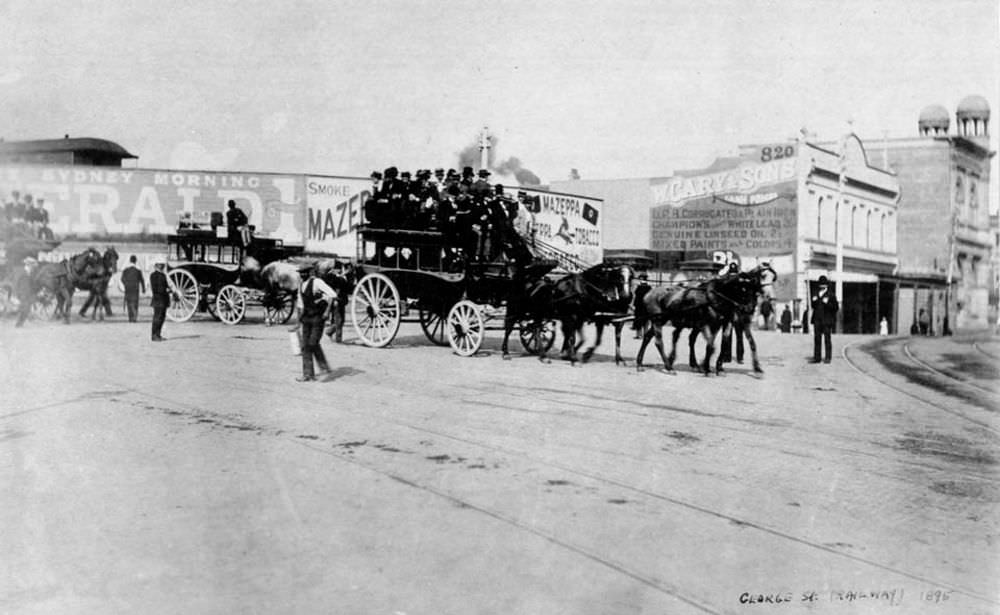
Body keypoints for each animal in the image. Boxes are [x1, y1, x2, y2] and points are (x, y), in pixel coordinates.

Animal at [500, 262, 632, 366]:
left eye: (631, 277)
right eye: (617, 277)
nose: (626, 297)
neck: (581, 289)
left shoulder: (581, 318)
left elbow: (581, 338)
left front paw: (570, 354)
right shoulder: (573, 317)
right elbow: (572, 337)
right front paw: (573, 357)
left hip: (538, 313)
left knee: (536, 330)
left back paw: (543, 356)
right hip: (515, 310)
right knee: (508, 328)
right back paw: (506, 353)